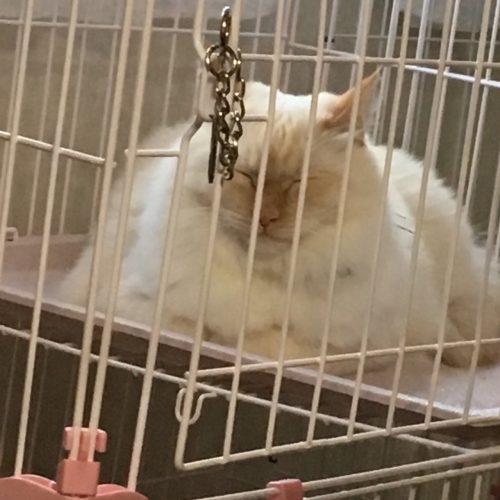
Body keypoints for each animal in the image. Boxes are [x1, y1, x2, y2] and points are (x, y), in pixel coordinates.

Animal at [59, 75, 500, 374]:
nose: (267, 218)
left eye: (299, 184)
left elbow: (272, 346)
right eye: (246, 176)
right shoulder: (129, 303)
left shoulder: (365, 344)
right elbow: (212, 333)